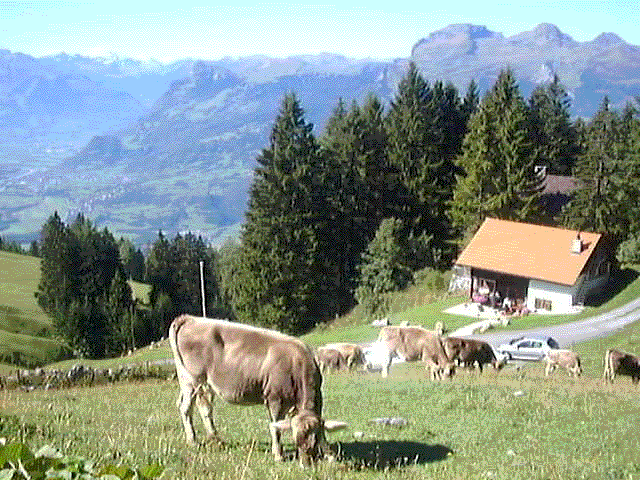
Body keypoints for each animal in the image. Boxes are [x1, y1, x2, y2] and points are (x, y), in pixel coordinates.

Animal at [169, 315, 347, 466]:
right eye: (296, 440)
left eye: (314, 442)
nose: (306, 465)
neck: (297, 363)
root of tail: (190, 318)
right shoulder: (275, 398)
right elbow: (275, 427)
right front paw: (278, 455)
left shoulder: (316, 400)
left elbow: (321, 427)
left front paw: (330, 455)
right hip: (193, 380)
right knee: (187, 408)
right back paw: (193, 440)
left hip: (196, 382)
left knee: (200, 407)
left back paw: (215, 438)